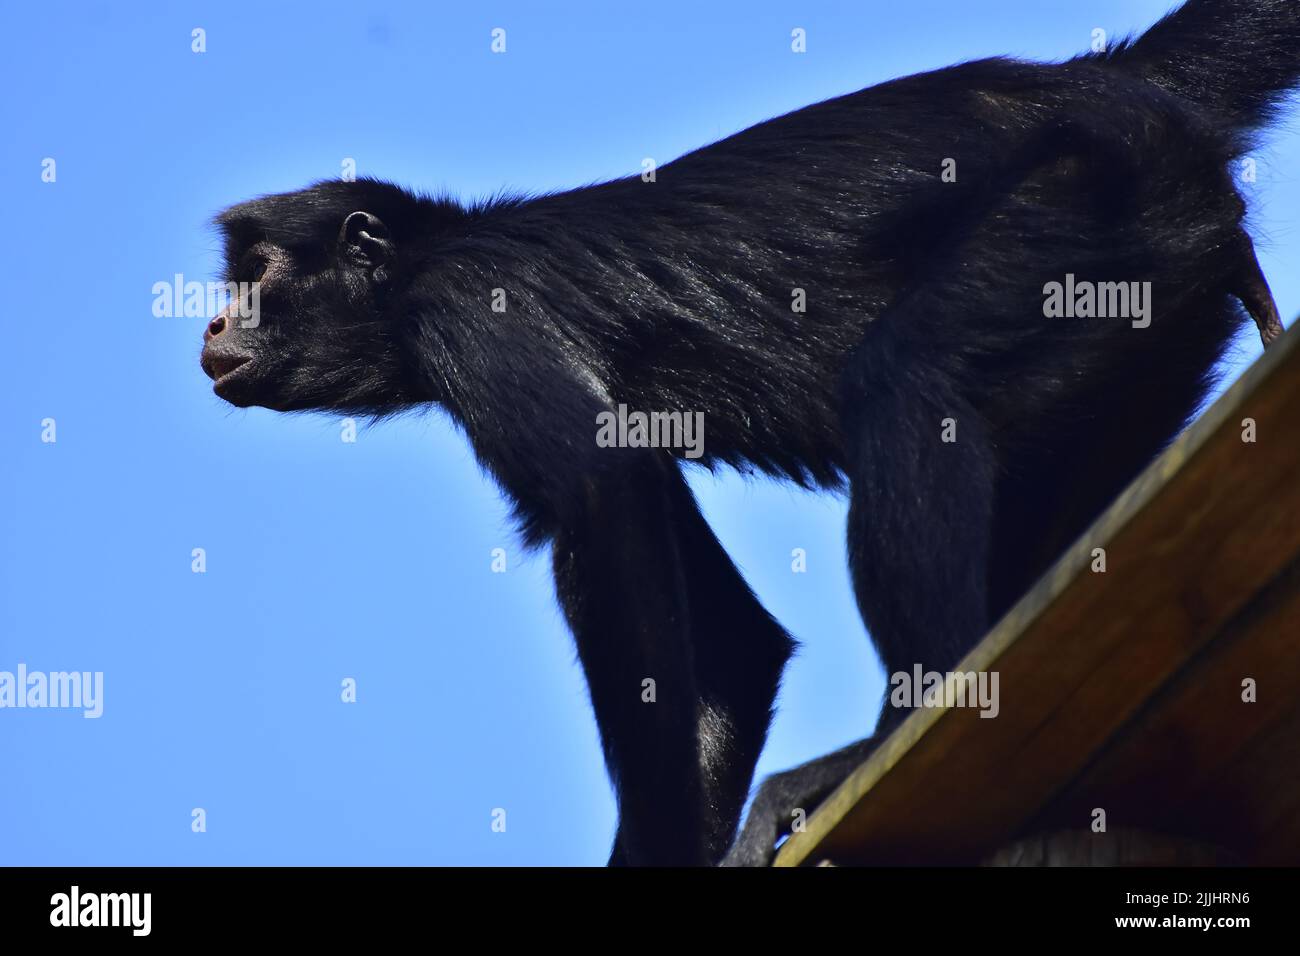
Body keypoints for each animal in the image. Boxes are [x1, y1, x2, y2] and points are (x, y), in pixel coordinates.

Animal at [199, 0, 1300, 866]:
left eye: (255, 272)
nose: (213, 322)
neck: (437, 253)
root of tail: (1110, 84)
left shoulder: (469, 314)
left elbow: (602, 497)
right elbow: (732, 641)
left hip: (1086, 209)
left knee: (904, 381)